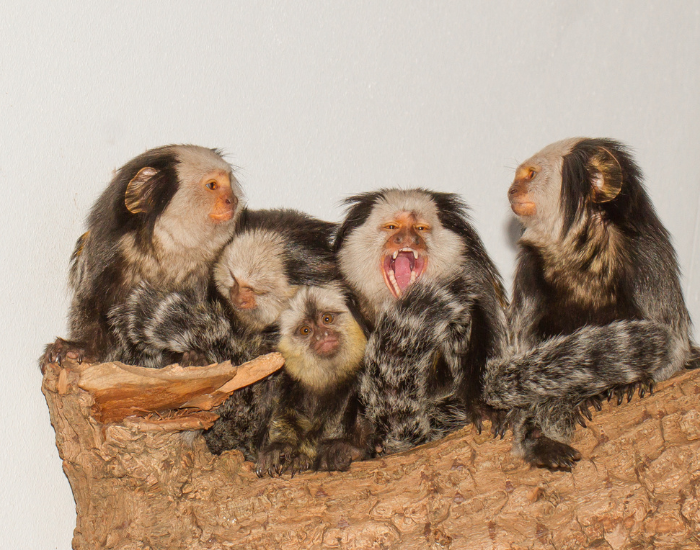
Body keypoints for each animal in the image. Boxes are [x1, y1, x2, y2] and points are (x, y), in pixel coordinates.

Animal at [39, 145, 243, 372]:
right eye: (212, 185)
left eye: (229, 184)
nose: (232, 200)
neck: (165, 248)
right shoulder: (104, 256)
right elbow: (91, 304)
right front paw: (79, 347)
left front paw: (193, 355)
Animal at [255, 283, 370, 476]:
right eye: (305, 330)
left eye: (327, 319)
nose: (322, 335)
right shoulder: (285, 381)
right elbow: (284, 414)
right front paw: (279, 446)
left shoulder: (355, 380)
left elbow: (332, 421)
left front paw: (301, 457)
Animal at [483, 137, 699, 470]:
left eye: (530, 175)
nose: (512, 191)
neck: (581, 254)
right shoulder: (530, 271)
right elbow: (524, 360)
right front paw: (541, 429)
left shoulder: (647, 257)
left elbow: (673, 347)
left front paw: (630, 383)